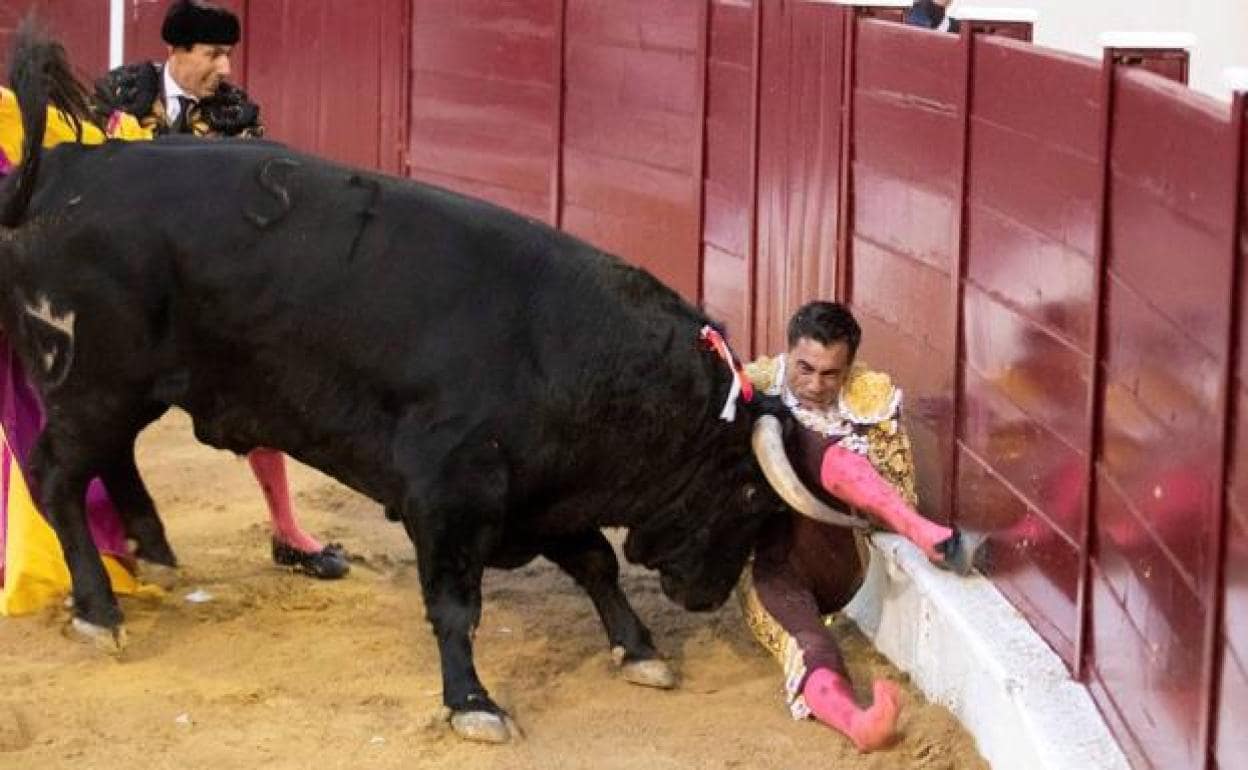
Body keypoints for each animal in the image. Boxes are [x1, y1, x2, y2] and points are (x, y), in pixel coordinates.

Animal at [0, 37, 818, 743]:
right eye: (751, 496)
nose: (708, 596)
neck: (572, 352)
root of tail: (69, 170)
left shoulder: (540, 489)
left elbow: (594, 561)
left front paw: (640, 650)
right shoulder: (450, 492)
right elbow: (457, 604)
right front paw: (473, 703)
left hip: (128, 389)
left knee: (110, 460)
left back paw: (154, 550)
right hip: (96, 380)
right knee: (56, 473)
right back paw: (101, 610)